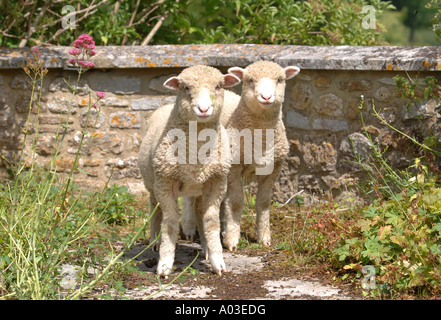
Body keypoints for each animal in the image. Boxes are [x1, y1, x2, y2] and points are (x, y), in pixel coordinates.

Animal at [138, 64, 241, 278]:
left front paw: (217, 261)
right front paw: (164, 266)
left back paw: (206, 250)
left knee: (200, 213)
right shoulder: (165, 183)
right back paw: (154, 243)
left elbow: (210, 221)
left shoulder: (217, 182)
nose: (204, 109)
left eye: (218, 86)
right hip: (152, 185)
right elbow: (170, 222)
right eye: (185, 87)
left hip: (199, 188)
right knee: (155, 211)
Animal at [181, 59, 300, 250]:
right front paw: (232, 240)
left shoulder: (273, 169)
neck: (260, 140)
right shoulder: (234, 168)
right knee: (190, 196)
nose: (266, 97)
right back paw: (190, 228)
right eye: (250, 80)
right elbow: (236, 202)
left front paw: (264, 238)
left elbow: (263, 202)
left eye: (279, 80)